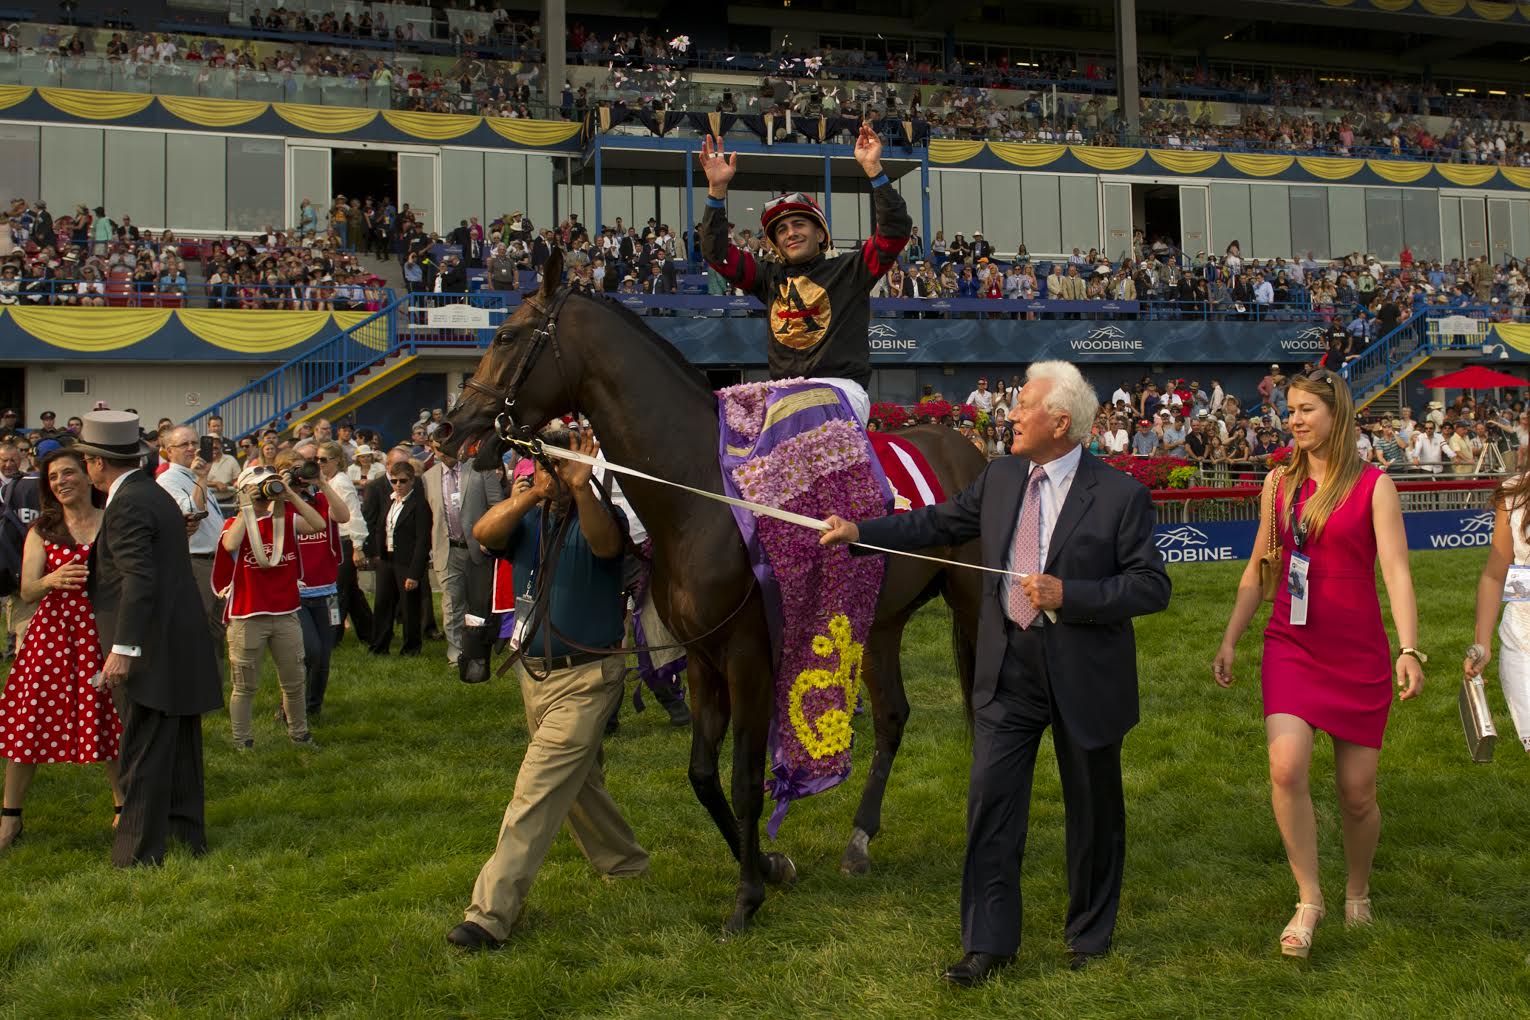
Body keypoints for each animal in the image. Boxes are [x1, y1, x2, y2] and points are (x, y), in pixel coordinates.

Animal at [437, 250, 985, 935]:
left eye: (507, 336)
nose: (450, 428)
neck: (700, 494)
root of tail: (971, 447)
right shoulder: (701, 657)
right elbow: (702, 774)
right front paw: (770, 867)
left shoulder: (749, 655)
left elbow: (746, 776)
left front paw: (746, 897)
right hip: (876, 620)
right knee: (891, 718)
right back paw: (859, 840)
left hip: (972, 603)